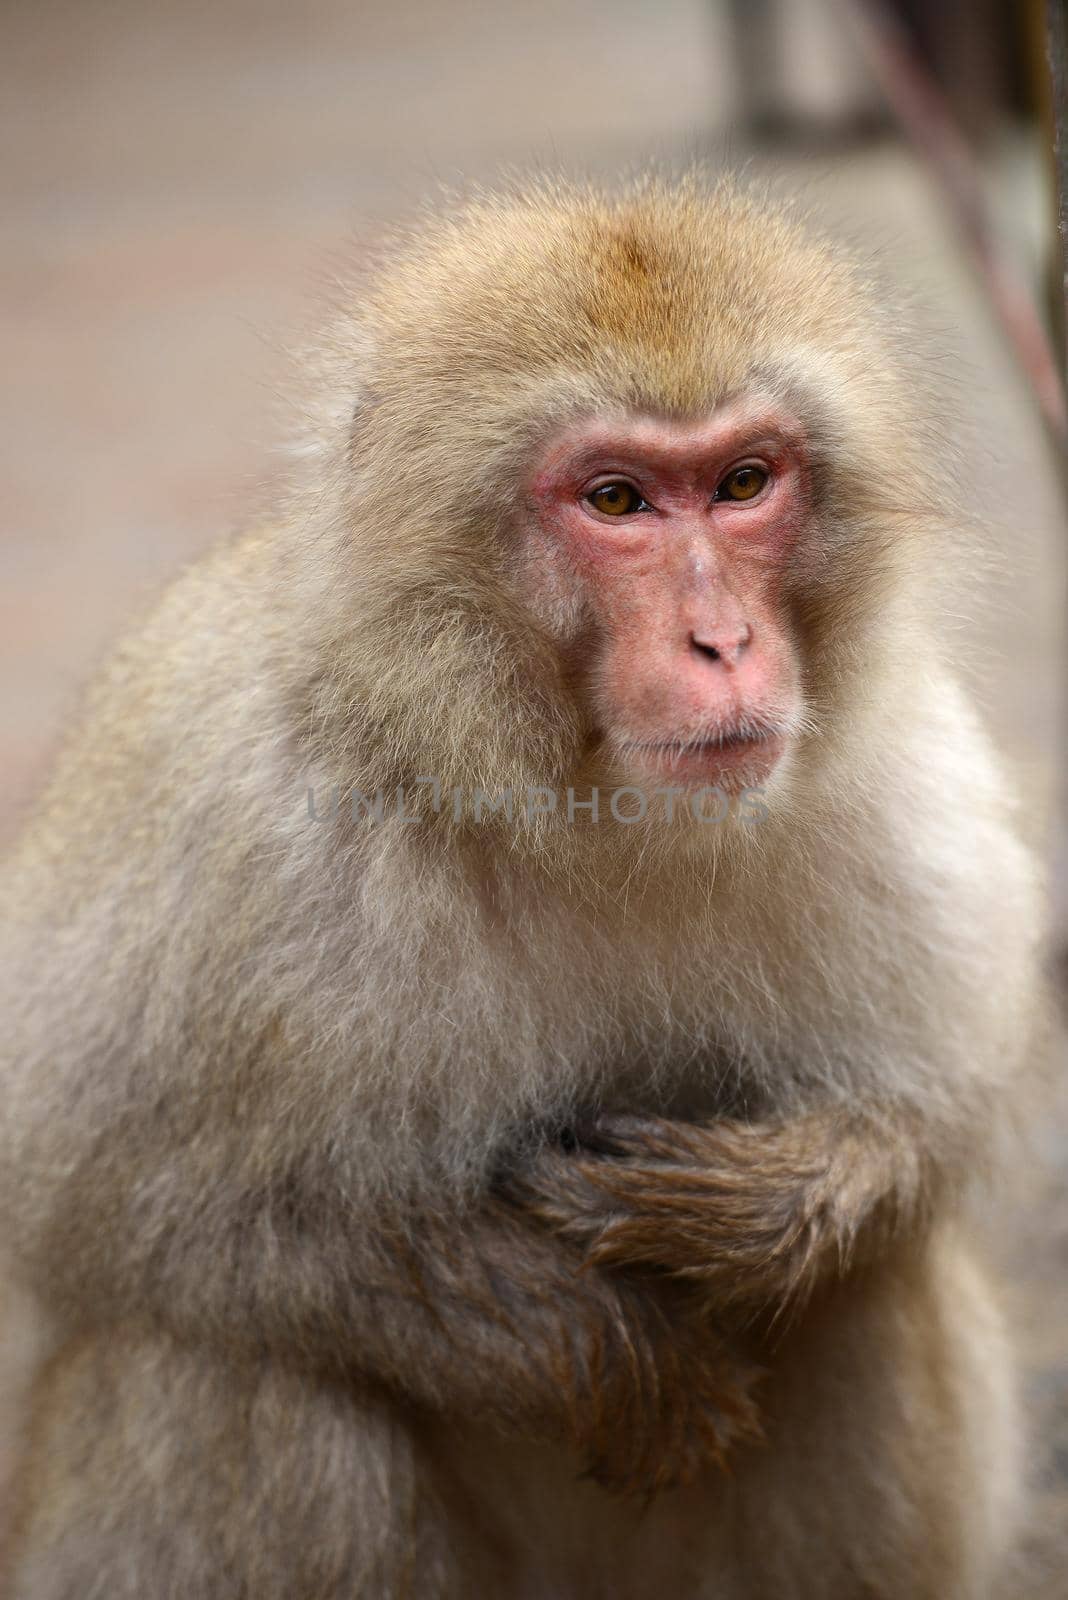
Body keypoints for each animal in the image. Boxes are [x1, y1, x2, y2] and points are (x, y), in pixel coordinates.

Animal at [0, 178, 1042, 1600]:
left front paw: (756, 1212)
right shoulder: (221, 795)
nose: (725, 642)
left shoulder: (904, 774)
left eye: (744, 482)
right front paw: (590, 1337)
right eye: (616, 499)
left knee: (866, 1298)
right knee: (231, 1370)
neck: (581, 808)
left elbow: (940, 1107)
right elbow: (103, 1210)